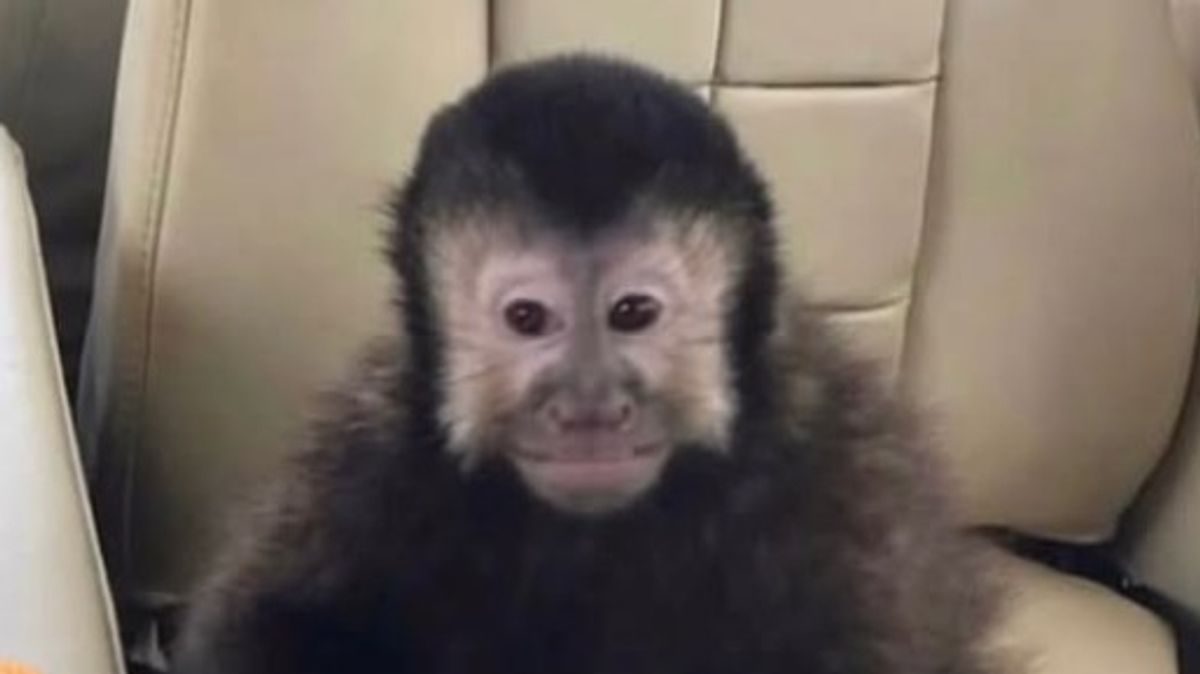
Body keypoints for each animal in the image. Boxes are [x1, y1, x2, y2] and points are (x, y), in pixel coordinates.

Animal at [172, 54, 1009, 674]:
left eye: (632, 313)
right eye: (528, 320)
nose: (589, 406)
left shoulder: (847, 480)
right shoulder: (365, 456)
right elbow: (265, 624)